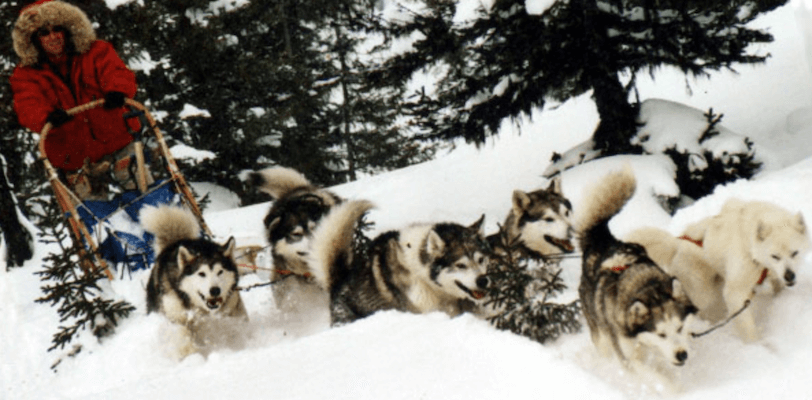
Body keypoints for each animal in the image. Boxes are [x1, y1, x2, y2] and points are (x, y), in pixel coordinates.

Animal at [141, 206, 246, 356]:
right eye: (201, 273)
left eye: (220, 271)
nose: (215, 290)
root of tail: (175, 242)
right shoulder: (177, 317)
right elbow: (183, 335)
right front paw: (192, 356)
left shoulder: (232, 310)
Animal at [576, 167, 696, 390]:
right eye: (661, 334)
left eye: (680, 327)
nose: (682, 355)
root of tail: (602, 241)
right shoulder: (627, 358)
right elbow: (657, 378)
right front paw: (673, 389)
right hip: (601, 336)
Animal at [628, 199, 804, 340]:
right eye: (775, 256)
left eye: (795, 253)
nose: (789, 276)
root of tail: (677, 244)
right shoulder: (735, 290)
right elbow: (746, 324)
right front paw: (756, 345)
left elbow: (777, 286)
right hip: (703, 292)